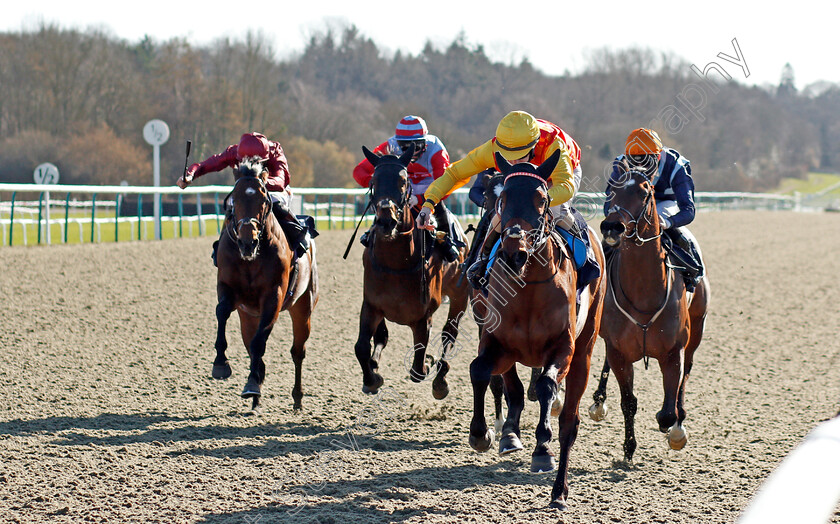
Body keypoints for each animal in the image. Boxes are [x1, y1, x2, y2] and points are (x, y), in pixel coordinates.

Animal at [210, 159, 318, 410]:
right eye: (234, 199)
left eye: (264, 200)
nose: (247, 243)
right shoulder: (228, 288)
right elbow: (222, 312)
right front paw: (221, 363)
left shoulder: (273, 296)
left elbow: (260, 343)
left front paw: (252, 382)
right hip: (248, 315)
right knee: (251, 343)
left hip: (303, 306)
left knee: (297, 351)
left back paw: (296, 397)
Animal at [352, 143, 470, 398]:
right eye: (374, 180)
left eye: (403, 181)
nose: (386, 221)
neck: (397, 264)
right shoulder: (372, 305)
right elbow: (361, 347)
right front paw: (372, 379)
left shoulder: (423, 317)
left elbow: (418, 367)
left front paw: (428, 362)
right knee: (383, 337)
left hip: (460, 296)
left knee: (449, 334)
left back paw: (440, 380)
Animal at [470, 150, 608, 508]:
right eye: (503, 197)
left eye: (542, 199)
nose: (514, 252)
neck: (528, 285)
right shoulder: (498, 343)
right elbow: (481, 371)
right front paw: (481, 432)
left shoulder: (563, 348)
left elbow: (547, 387)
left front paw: (542, 449)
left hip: (585, 350)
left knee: (569, 421)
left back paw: (559, 491)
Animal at [592, 166, 708, 460]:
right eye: (611, 189)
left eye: (645, 192)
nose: (612, 227)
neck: (643, 292)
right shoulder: (619, 352)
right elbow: (628, 402)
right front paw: (628, 447)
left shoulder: (672, 352)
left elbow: (668, 411)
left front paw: (673, 429)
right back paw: (598, 401)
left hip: (697, 331)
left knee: (686, 376)